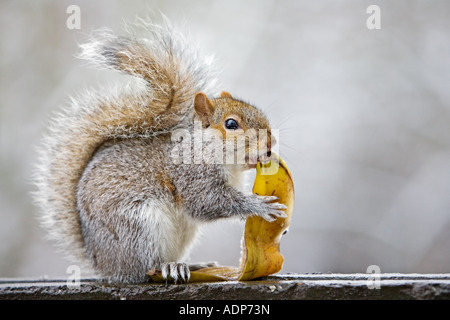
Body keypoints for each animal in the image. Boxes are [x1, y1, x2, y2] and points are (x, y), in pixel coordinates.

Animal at [35, 18, 288, 282]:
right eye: (231, 124)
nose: (270, 144)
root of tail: (104, 263)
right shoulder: (191, 176)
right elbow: (207, 202)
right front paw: (259, 205)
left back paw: (192, 265)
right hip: (138, 227)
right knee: (144, 270)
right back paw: (169, 267)